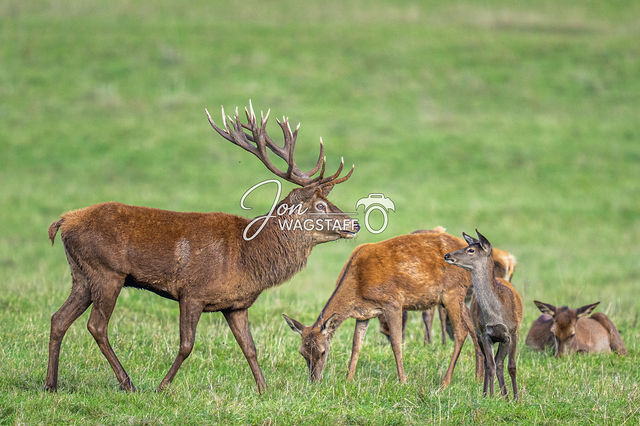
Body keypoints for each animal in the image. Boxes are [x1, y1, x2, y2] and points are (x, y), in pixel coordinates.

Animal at [45, 102, 359, 394]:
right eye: (320, 205)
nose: (354, 223)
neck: (249, 257)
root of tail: (64, 221)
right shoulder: (192, 292)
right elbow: (187, 345)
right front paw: (162, 386)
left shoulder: (236, 305)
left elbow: (250, 348)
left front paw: (264, 390)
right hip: (107, 272)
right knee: (96, 326)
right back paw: (127, 383)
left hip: (82, 275)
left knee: (58, 318)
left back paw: (51, 384)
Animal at [283, 230, 483, 387]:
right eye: (302, 353)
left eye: (323, 351)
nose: (314, 380)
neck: (357, 286)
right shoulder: (363, 314)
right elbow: (356, 345)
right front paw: (348, 379)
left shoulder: (392, 302)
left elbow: (396, 342)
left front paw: (403, 380)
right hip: (458, 298)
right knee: (473, 328)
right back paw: (478, 377)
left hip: (452, 291)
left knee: (461, 331)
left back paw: (445, 382)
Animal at [444, 230, 523, 399]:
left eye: (470, 250)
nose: (447, 255)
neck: (496, 313)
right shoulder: (485, 334)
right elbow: (490, 365)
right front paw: (490, 396)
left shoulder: (512, 332)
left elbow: (511, 366)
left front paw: (516, 399)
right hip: (479, 333)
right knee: (491, 363)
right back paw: (490, 394)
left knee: (500, 363)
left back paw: (506, 397)